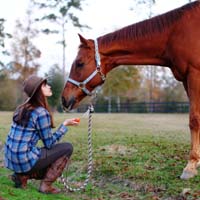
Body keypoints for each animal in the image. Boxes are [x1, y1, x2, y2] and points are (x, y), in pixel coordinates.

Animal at [61, 0, 200, 180]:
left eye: (80, 63)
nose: (64, 99)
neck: (176, 32)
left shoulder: (194, 74)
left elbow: (194, 119)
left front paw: (191, 166)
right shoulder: (186, 79)